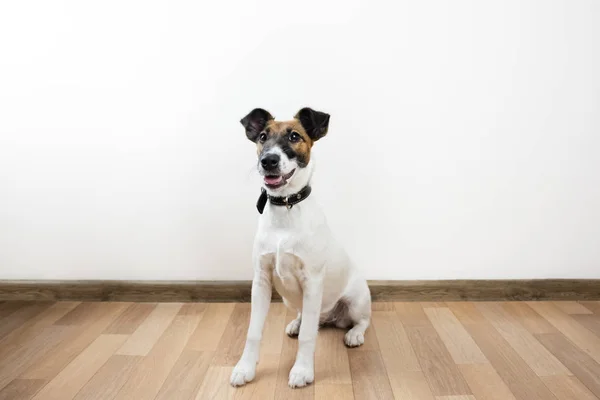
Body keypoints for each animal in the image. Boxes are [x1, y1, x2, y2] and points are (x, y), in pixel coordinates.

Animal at [230, 107, 370, 388]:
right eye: (262, 137)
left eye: (295, 136)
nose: (269, 161)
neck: (286, 207)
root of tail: (330, 317)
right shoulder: (260, 282)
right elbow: (253, 332)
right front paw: (245, 368)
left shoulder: (312, 281)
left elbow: (308, 337)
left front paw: (302, 371)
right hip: (291, 299)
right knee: (306, 318)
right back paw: (297, 322)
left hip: (356, 299)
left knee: (362, 321)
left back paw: (354, 334)